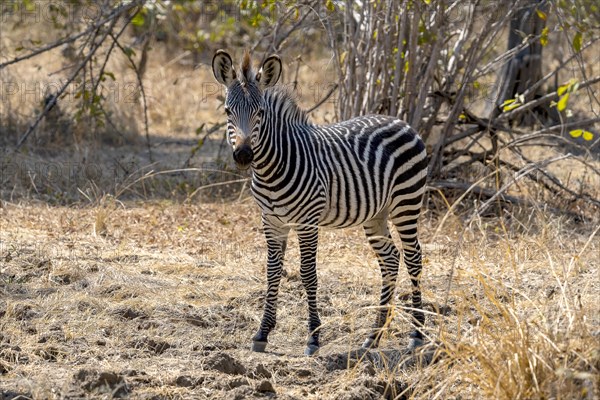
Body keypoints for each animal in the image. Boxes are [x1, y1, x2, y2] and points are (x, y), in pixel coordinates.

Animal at [211, 50, 426, 356]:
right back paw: (373, 336)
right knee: (391, 260)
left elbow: (308, 273)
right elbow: (272, 272)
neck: (271, 169)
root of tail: (401, 122)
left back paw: (417, 333)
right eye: (228, 112)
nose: (243, 156)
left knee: (413, 257)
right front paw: (262, 333)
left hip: (406, 203)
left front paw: (313, 337)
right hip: (376, 214)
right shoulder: (271, 222)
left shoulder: (307, 222)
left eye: (260, 113)